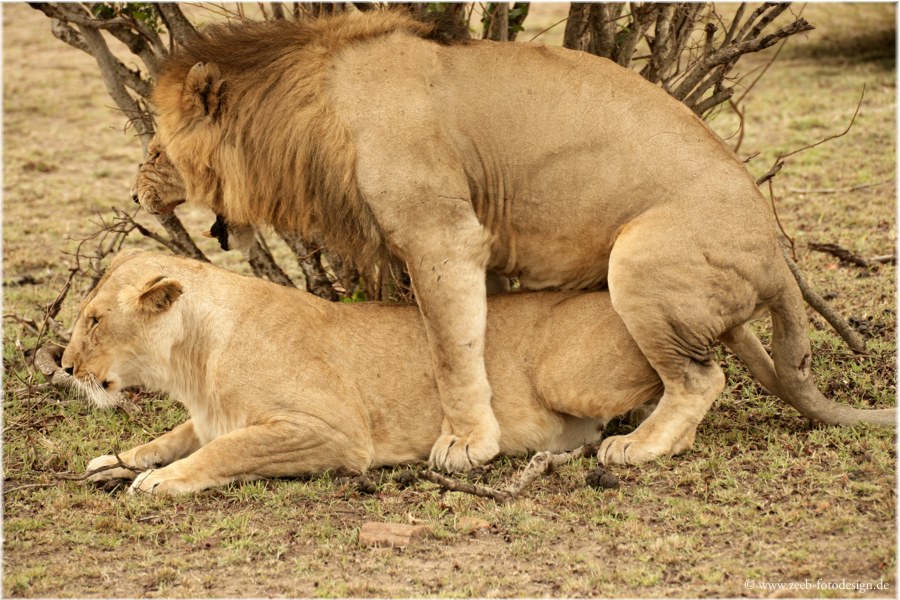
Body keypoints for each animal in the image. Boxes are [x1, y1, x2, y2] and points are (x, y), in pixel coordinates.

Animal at [61, 251, 660, 494]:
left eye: (94, 320)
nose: (63, 367)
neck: (193, 363)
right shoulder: (209, 417)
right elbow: (166, 438)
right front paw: (114, 462)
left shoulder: (335, 432)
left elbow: (227, 450)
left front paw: (161, 479)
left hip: (568, 378)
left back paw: (641, 437)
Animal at [139, 8, 892, 468]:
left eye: (153, 148)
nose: (137, 192)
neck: (309, 109)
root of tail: (778, 256)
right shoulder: (479, 240)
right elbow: (478, 335)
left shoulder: (442, 235)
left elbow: (449, 348)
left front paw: (465, 445)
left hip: (641, 258)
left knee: (701, 378)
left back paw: (639, 448)